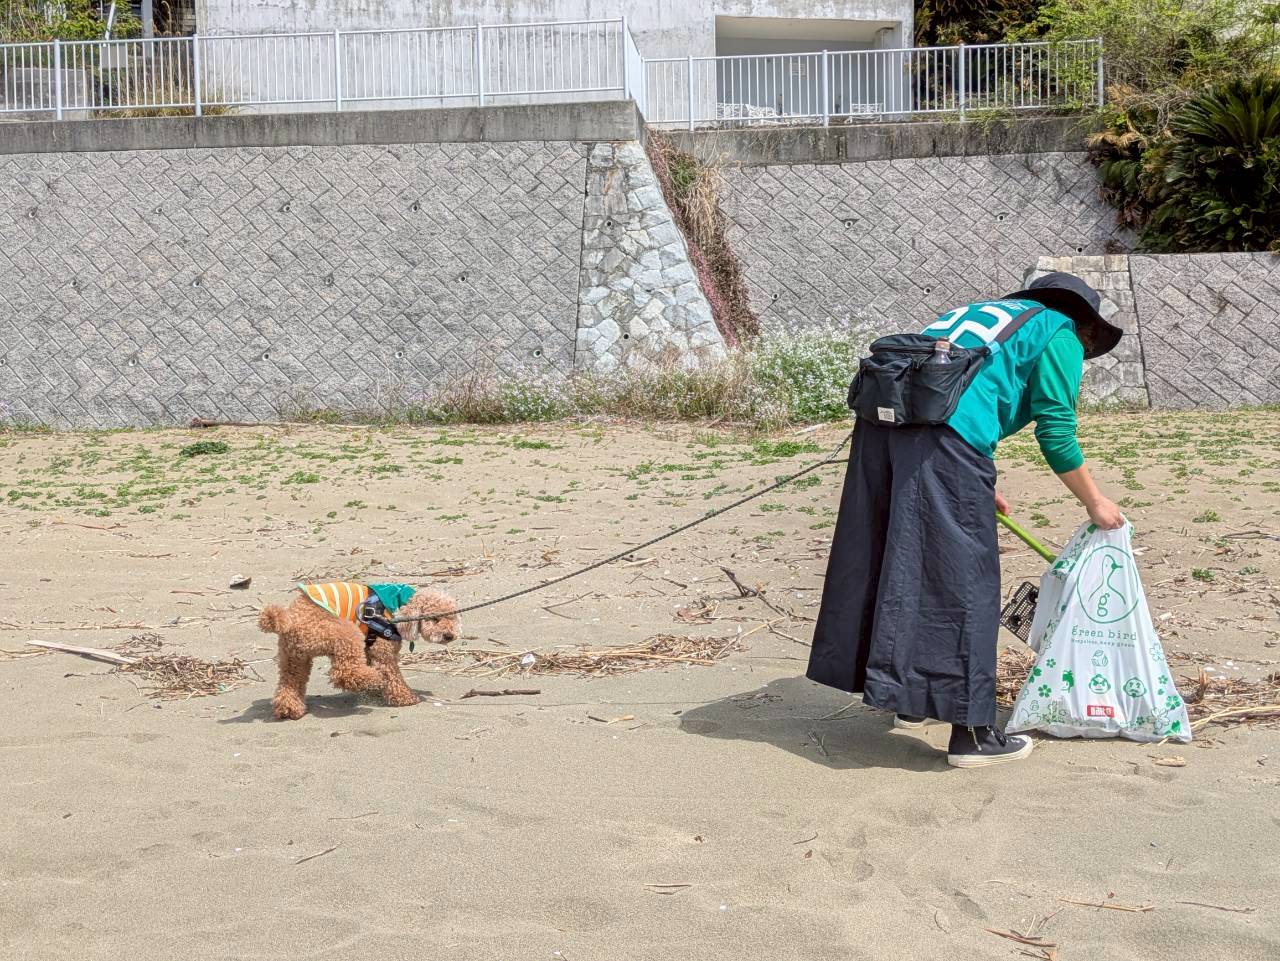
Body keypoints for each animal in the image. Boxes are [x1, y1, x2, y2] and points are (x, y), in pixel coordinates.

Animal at [258, 582, 459, 720]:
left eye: (452, 617)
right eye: (435, 619)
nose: (450, 635)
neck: (398, 604)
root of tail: (289, 618)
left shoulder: (370, 650)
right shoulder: (383, 651)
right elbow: (393, 676)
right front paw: (405, 697)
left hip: (294, 657)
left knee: (289, 684)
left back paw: (289, 709)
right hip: (346, 634)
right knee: (344, 673)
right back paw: (375, 679)